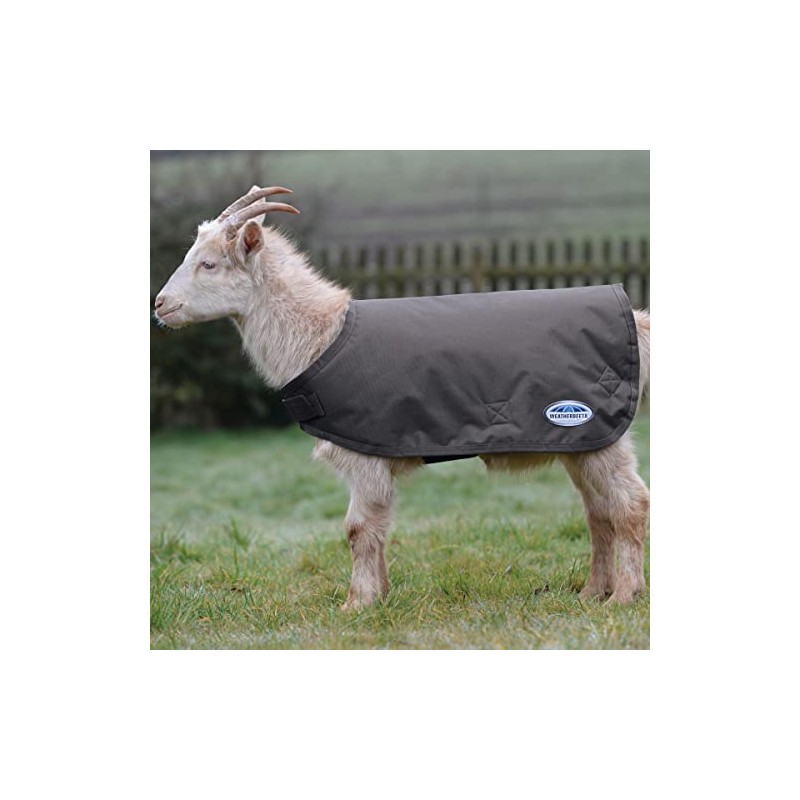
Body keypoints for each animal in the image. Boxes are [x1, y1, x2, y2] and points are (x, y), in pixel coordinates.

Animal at [154, 186, 650, 609]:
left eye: (209, 264)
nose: (160, 304)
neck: (322, 336)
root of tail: (636, 321)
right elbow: (378, 528)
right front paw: (381, 595)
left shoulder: (364, 455)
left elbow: (358, 529)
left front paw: (355, 604)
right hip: (582, 442)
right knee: (598, 512)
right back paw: (592, 592)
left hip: (599, 433)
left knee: (630, 505)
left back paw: (623, 598)